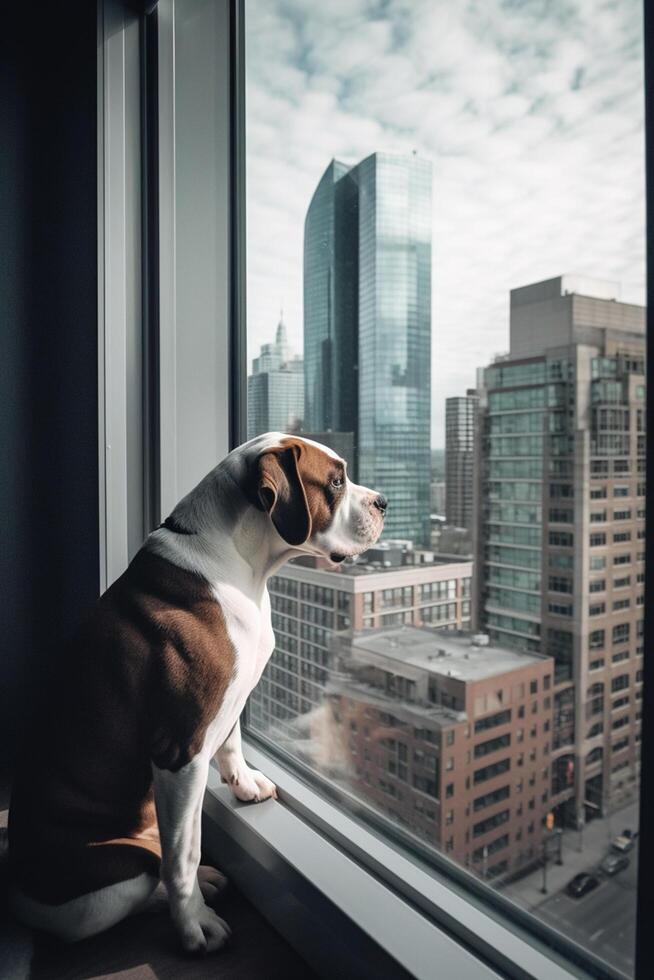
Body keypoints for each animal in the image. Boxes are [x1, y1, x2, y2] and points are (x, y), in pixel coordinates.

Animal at [7, 432, 386, 952]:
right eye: (334, 482)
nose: (382, 502)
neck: (240, 563)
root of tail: (16, 891)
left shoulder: (228, 701)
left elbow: (232, 744)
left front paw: (245, 784)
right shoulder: (179, 752)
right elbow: (183, 853)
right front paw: (194, 924)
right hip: (102, 888)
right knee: (147, 878)